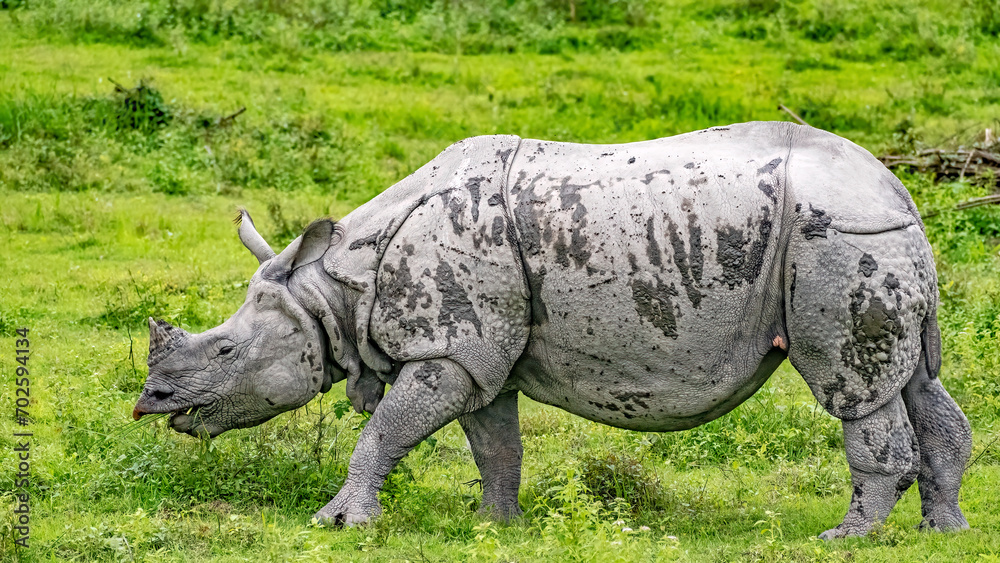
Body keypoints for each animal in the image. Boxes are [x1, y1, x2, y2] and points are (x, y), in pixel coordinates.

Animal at [133, 121, 971, 539]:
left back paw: (848, 538)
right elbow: (495, 443)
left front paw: (340, 523)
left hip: (837, 237)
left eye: (226, 349)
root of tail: (896, 184)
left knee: (857, 389)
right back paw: (943, 530)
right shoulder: (476, 353)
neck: (337, 286)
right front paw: (496, 524)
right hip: (869, 234)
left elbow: (384, 432)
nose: (150, 402)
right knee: (919, 382)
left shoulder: (448, 349)